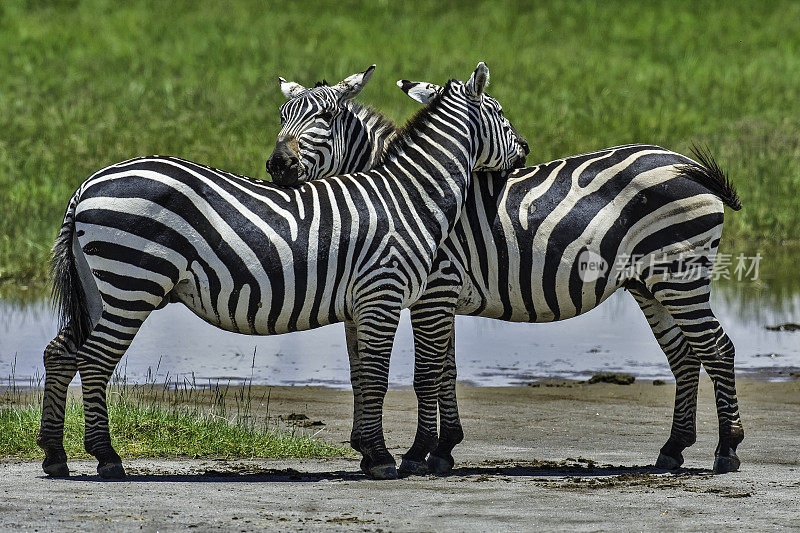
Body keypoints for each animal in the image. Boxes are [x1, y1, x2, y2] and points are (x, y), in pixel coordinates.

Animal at [37, 61, 528, 478]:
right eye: (502, 112)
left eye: (325, 116)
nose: (525, 150)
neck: (408, 196)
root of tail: (87, 185)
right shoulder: (383, 293)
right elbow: (379, 375)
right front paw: (385, 458)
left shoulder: (362, 303)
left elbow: (362, 374)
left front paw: (370, 453)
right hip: (132, 284)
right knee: (94, 360)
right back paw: (107, 458)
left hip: (99, 289)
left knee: (60, 353)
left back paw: (55, 457)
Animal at [268, 76, 744, 474]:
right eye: (281, 116)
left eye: (324, 118)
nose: (276, 166)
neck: (410, 194)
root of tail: (686, 164)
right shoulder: (438, 298)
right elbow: (446, 370)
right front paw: (444, 449)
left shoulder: (435, 289)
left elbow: (428, 374)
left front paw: (418, 454)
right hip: (650, 283)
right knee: (685, 356)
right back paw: (673, 449)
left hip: (680, 275)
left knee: (717, 349)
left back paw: (727, 451)